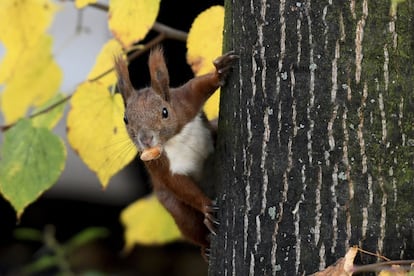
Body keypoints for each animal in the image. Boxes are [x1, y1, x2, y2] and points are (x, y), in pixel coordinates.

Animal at [115, 46, 238, 260]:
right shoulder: (156, 163)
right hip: (178, 211)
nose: (146, 139)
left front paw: (219, 71)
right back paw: (206, 247)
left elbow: (198, 87)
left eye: (165, 112)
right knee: (192, 227)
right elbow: (176, 183)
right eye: (125, 119)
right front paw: (206, 207)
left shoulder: (184, 103)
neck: (172, 138)